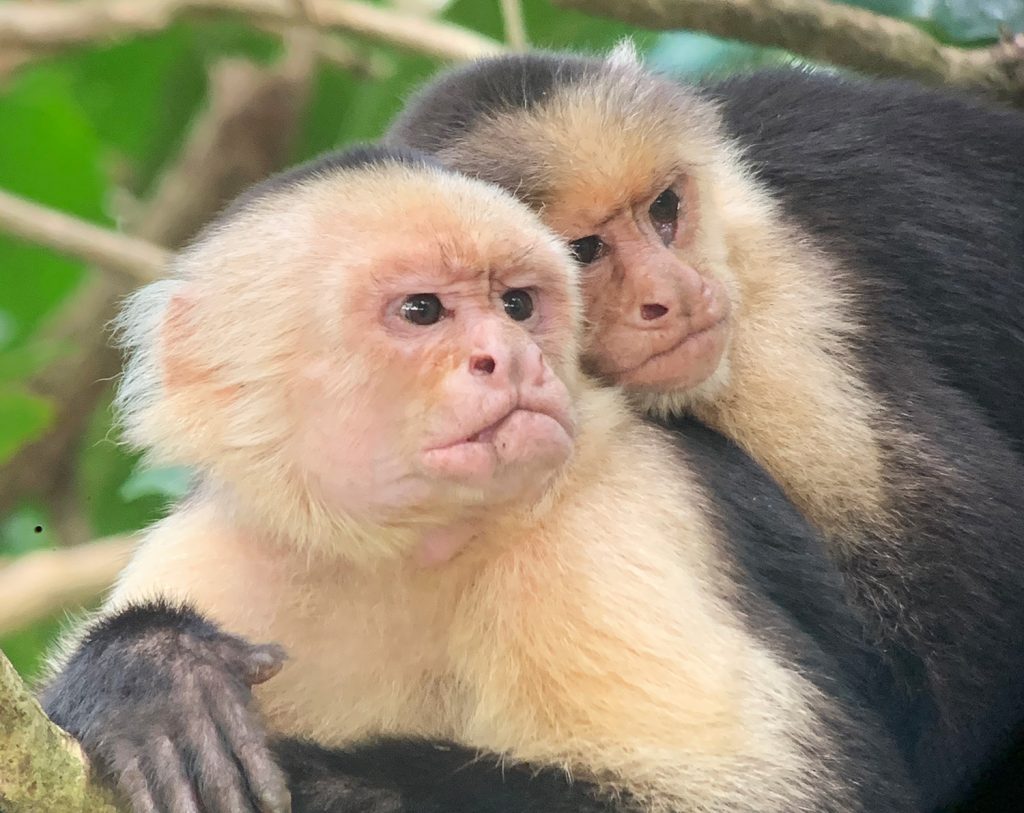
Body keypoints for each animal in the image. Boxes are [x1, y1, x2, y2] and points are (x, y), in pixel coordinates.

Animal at [36, 147, 917, 810]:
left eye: (519, 305)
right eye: (423, 310)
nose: (512, 357)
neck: (406, 550)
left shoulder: (609, 519)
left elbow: (784, 797)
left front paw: (318, 777)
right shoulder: (214, 554)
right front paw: (152, 677)